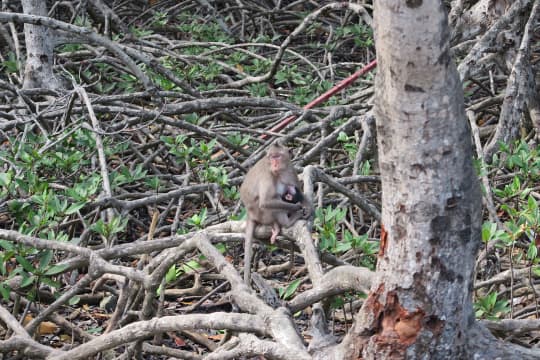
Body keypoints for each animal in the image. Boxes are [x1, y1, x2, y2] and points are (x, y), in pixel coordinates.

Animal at [240, 141, 312, 284]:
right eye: (272, 157)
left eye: (278, 156)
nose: (274, 164)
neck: (281, 171)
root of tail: (249, 213)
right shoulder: (268, 175)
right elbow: (266, 202)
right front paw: (297, 207)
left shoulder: (290, 170)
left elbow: (299, 191)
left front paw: (310, 207)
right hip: (261, 213)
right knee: (274, 201)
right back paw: (284, 223)